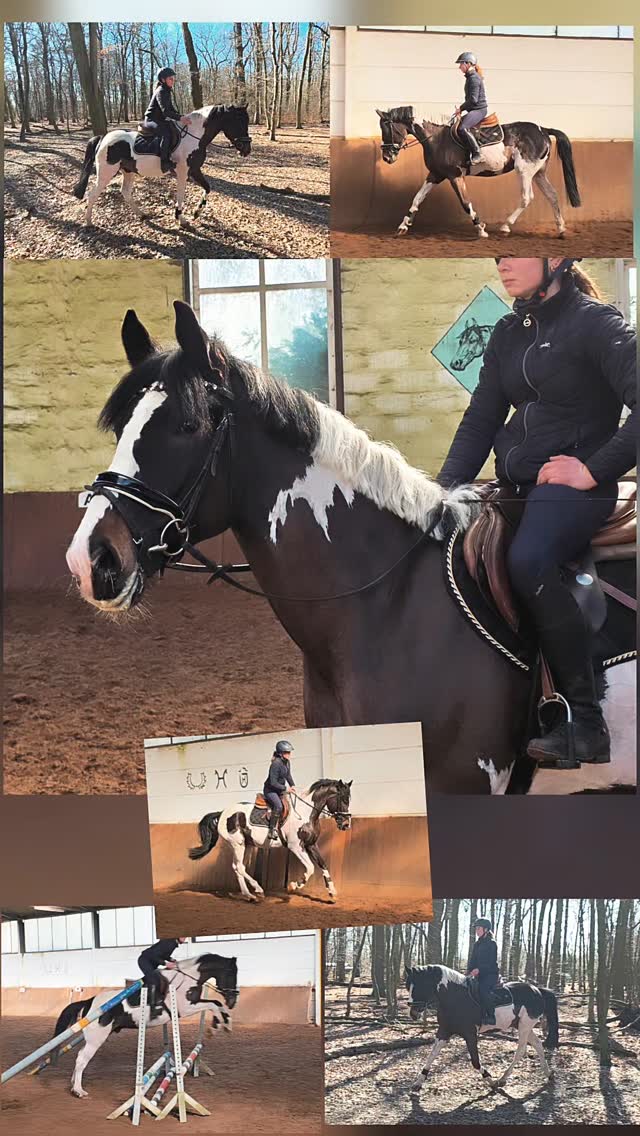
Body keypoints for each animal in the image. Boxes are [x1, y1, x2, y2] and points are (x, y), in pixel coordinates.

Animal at [52, 953, 237, 1098]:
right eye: (232, 974)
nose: (233, 1001)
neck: (188, 978)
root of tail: (89, 1002)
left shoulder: (194, 1003)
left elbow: (216, 1003)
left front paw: (224, 1024)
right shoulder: (185, 1008)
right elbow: (213, 1004)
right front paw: (217, 1026)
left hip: (92, 1038)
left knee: (79, 1056)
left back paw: (73, 1084)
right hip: (96, 1038)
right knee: (82, 1059)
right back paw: (79, 1091)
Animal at [72, 104, 251, 227]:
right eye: (238, 122)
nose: (247, 149)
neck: (194, 136)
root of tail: (103, 137)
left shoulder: (194, 170)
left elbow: (207, 188)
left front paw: (195, 213)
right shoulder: (183, 172)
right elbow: (181, 195)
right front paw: (181, 218)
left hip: (128, 171)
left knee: (126, 193)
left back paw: (142, 214)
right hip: (106, 173)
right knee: (92, 194)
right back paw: (88, 222)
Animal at [188, 779, 352, 903]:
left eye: (349, 800)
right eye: (343, 799)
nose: (346, 824)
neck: (305, 814)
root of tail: (222, 813)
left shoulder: (311, 845)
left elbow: (323, 864)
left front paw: (332, 892)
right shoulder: (296, 847)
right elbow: (310, 868)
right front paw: (293, 886)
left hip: (247, 845)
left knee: (238, 867)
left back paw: (250, 895)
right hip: (237, 844)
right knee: (239, 867)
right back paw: (258, 890)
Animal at [376, 106, 581, 238]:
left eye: (387, 128)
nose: (387, 157)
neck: (437, 138)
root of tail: (543, 130)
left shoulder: (455, 176)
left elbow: (465, 203)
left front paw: (481, 228)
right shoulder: (435, 174)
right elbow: (417, 199)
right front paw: (403, 226)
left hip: (524, 171)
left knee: (526, 197)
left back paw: (505, 227)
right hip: (538, 173)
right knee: (552, 195)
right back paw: (561, 230)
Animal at [405, 964, 559, 1095]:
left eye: (421, 985)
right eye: (408, 987)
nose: (413, 1014)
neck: (456, 997)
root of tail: (537, 990)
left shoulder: (470, 1034)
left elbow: (475, 1061)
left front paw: (490, 1081)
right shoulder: (444, 1031)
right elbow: (431, 1055)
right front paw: (418, 1082)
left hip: (524, 1026)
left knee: (521, 1050)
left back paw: (502, 1079)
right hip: (522, 1026)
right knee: (537, 1044)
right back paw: (548, 1074)